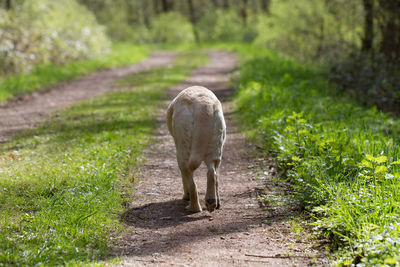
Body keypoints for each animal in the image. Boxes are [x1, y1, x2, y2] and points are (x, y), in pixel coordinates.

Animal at [166, 86, 227, 214]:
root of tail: (202, 105)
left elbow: (185, 180)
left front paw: (186, 196)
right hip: (216, 149)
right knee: (213, 173)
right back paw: (212, 202)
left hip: (182, 153)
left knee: (192, 183)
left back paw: (193, 207)